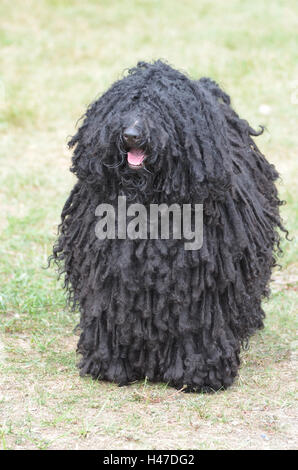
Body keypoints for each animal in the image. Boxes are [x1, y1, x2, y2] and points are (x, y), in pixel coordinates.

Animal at [51, 60, 286, 392]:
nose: (131, 134)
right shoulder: (107, 270)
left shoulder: (202, 280)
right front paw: (110, 365)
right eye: (125, 104)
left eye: (162, 107)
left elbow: (198, 323)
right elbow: (108, 310)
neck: (149, 202)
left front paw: (200, 373)